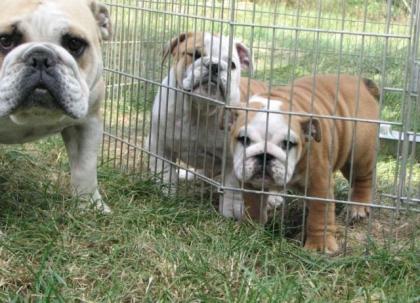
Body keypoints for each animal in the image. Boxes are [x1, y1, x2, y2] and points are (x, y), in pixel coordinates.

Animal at [0, 0, 111, 214]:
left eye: (74, 43)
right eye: (5, 41)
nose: (40, 57)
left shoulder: (87, 122)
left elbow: (85, 168)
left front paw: (91, 207)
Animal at [226, 75, 380, 253]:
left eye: (288, 143)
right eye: (243, 139)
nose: (264, 156)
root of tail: (360, 82)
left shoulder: (319, 183)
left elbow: (320, 215)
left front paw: (320, 246)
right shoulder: (251, 183)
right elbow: (253, 205)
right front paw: (249, 231)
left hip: (359, 153)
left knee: (363, 179)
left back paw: (358, 207)